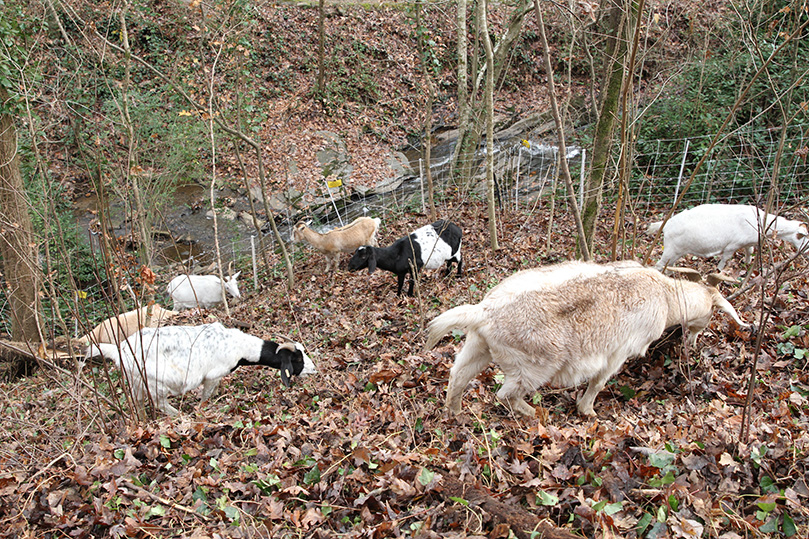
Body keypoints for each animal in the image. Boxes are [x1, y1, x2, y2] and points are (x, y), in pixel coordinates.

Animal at [85, 322, 316, 416]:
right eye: (297, 358)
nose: (314, 369)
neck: (238, 346)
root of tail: (119, 350)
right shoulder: (212, 376)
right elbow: (205, 398)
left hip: (136, 381)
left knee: (139, 403)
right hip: (154, 382)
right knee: (160, 403)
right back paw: (179, 415)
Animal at [426, 264, 748, 420]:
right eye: (712, 313)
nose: (692, 341)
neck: (666, 296)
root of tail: (484, 311)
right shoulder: (620, 350)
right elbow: (599, 381)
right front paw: (588, 410)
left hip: (478, 346)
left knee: (458, 375)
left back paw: (455, 413)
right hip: (533, 365)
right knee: (506, 395)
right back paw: (536, 414)